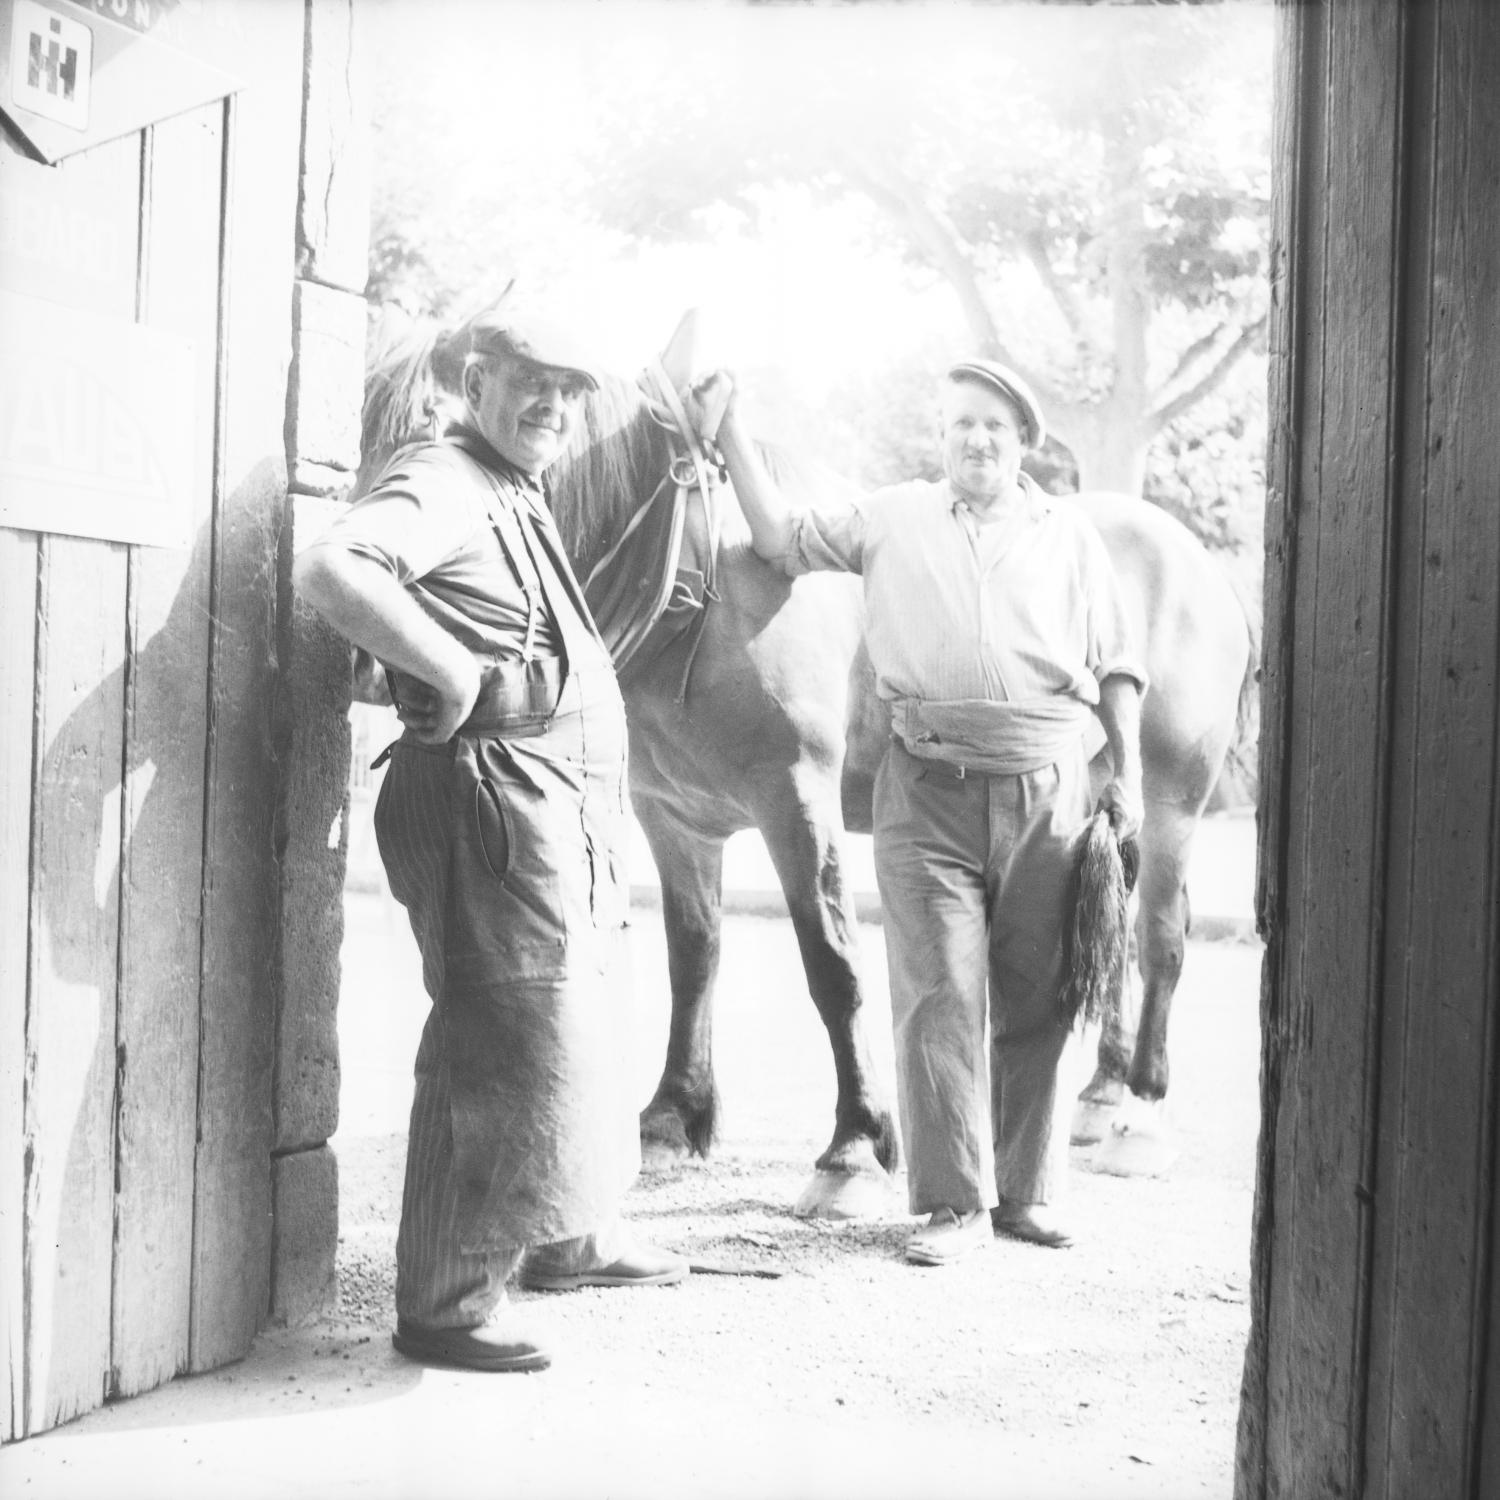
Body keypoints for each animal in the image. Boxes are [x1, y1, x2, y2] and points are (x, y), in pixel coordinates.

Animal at [357, 310, 1260, 1212]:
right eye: (368, 442)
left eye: (440, 445)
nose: (374, 658)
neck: (699, 574)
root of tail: (1204, 570)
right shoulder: (672, 817)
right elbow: (694, 953)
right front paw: (673, 1115)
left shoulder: (797, 798)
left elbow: (834, 963)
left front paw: (856, 1144)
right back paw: (1102, 1091)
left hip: (1172, 795)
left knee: (1160, 934)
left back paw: (1140, 1108)